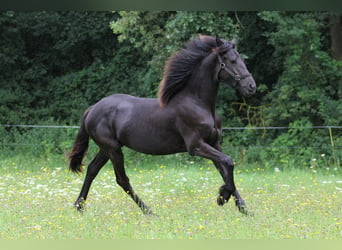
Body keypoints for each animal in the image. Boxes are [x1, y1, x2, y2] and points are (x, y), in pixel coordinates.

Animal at [69, 35, 256, 215]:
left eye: (241, 59)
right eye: (232, 60)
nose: (251, 86)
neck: (198, 103)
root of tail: (92, 109)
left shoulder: (214, 143)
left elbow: (225, 170)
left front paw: (244, 209)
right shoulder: (196, 146)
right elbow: (229, 162)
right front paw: (222, 197)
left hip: (107, 149)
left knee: (92, 170)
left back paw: (79, 207)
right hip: (113, 149)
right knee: (122, 180)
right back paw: (149, 211)